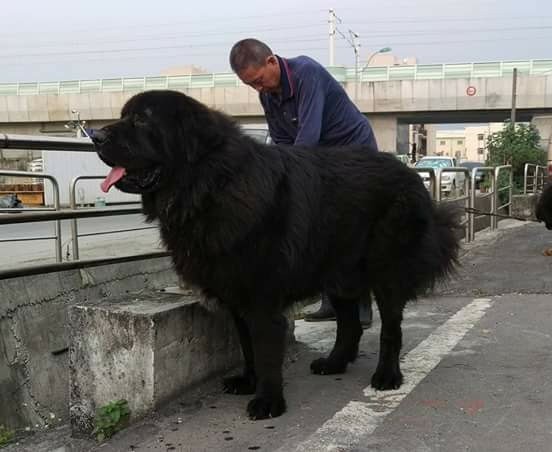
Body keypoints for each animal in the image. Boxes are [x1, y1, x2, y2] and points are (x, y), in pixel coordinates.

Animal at [91, 91, 462, 420]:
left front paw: (268, 401)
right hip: (339, 274)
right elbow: (248, 347)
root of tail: (410, 173)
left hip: (386, 271)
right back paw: (334, 363)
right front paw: (248, 381)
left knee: (390, 328)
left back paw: (387, 376)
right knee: (350, 324)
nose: (95, 135)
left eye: (141, 119)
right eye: (124, 115)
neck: (210, 186)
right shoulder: (237, 298)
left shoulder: (262, 300)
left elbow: (267, 352)